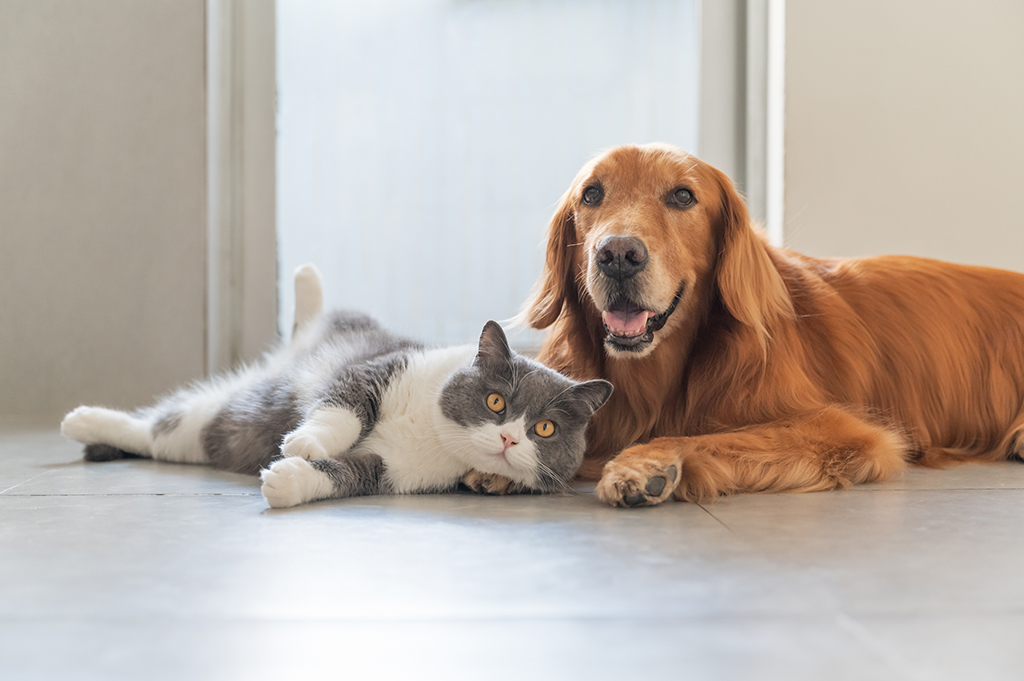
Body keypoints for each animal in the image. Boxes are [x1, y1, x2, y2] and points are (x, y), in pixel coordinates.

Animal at [61, 262, 606, 507]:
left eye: (545, 430)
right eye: (496, 401)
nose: (509, 437)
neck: (431, 431)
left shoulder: (391, 470)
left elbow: (346, 473)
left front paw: (288, 479)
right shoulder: (373, 370)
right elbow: (342, 410)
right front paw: (305, 441)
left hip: (202, 436)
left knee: (153, 434)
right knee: (149, 428)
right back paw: (80, 420)